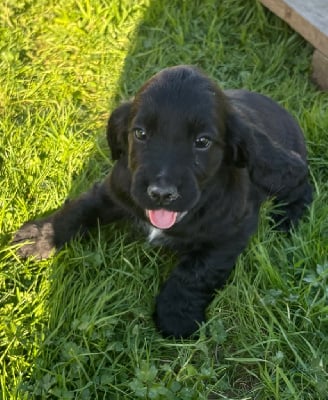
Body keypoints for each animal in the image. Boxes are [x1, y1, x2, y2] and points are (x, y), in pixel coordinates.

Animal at [13, 65, 312, 338]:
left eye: (202, 141)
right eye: (140, 133)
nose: (161, 193)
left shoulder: (231, 234)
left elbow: (196, 272)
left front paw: (176, 314)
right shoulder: (112, 192)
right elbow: (76, 211)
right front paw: (40, 237)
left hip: (279, 170)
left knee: (303, 184)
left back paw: (287, 219)